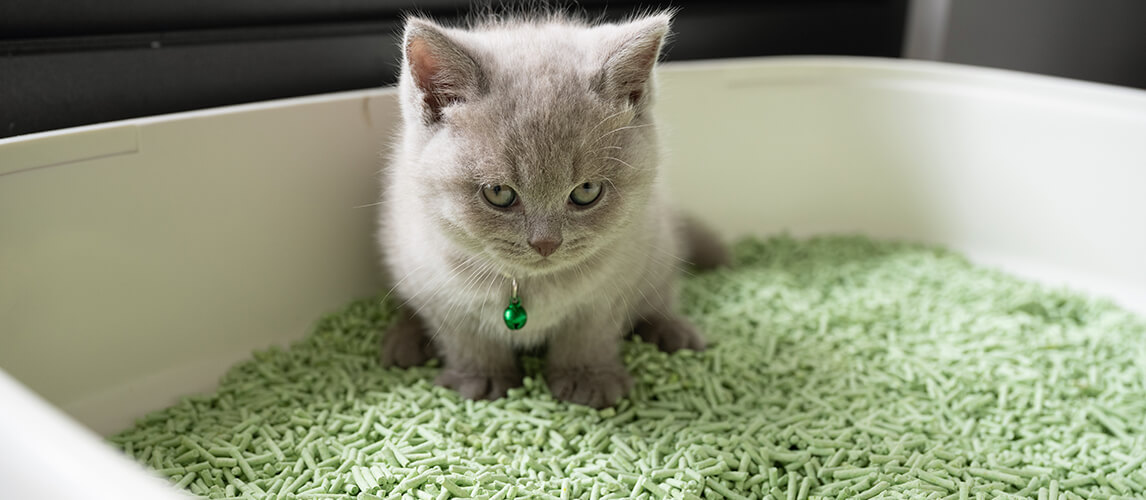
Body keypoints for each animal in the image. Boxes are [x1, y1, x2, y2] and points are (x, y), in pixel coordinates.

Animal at [380, 11, 728, 408]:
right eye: (498, 193)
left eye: (587, 191)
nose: (546, 243)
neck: (528, 284)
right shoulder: (437, 289)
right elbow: (467, 339)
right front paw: (482, 379)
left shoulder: (613, 285)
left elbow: (588, 335)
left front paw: (587, 380)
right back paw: (404, 341)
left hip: (658, 249)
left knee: (660, 295)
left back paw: (672, 330)